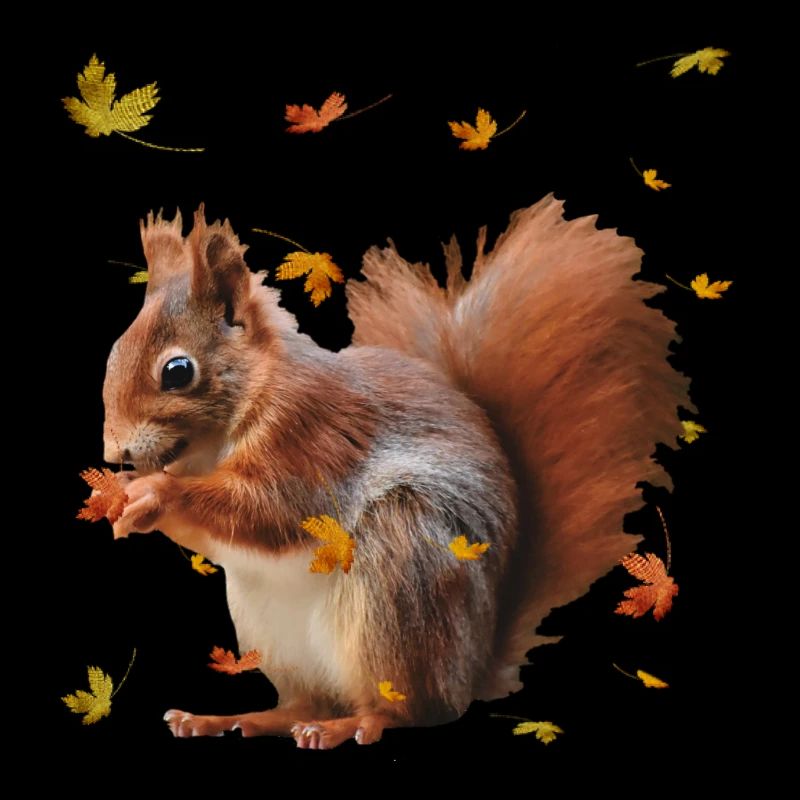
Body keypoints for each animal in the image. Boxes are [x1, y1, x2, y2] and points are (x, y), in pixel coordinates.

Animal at [101, 194, 690, 748]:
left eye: (178, 371)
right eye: (115, 350)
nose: (113, 452)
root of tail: (470, 668)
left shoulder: (309, 438)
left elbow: (267, 510)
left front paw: (155, 491)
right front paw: (123, 497)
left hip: (401, 577)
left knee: (403, 710)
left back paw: (348, 726)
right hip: (268, 629)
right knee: (303, 703)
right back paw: (230, 718)